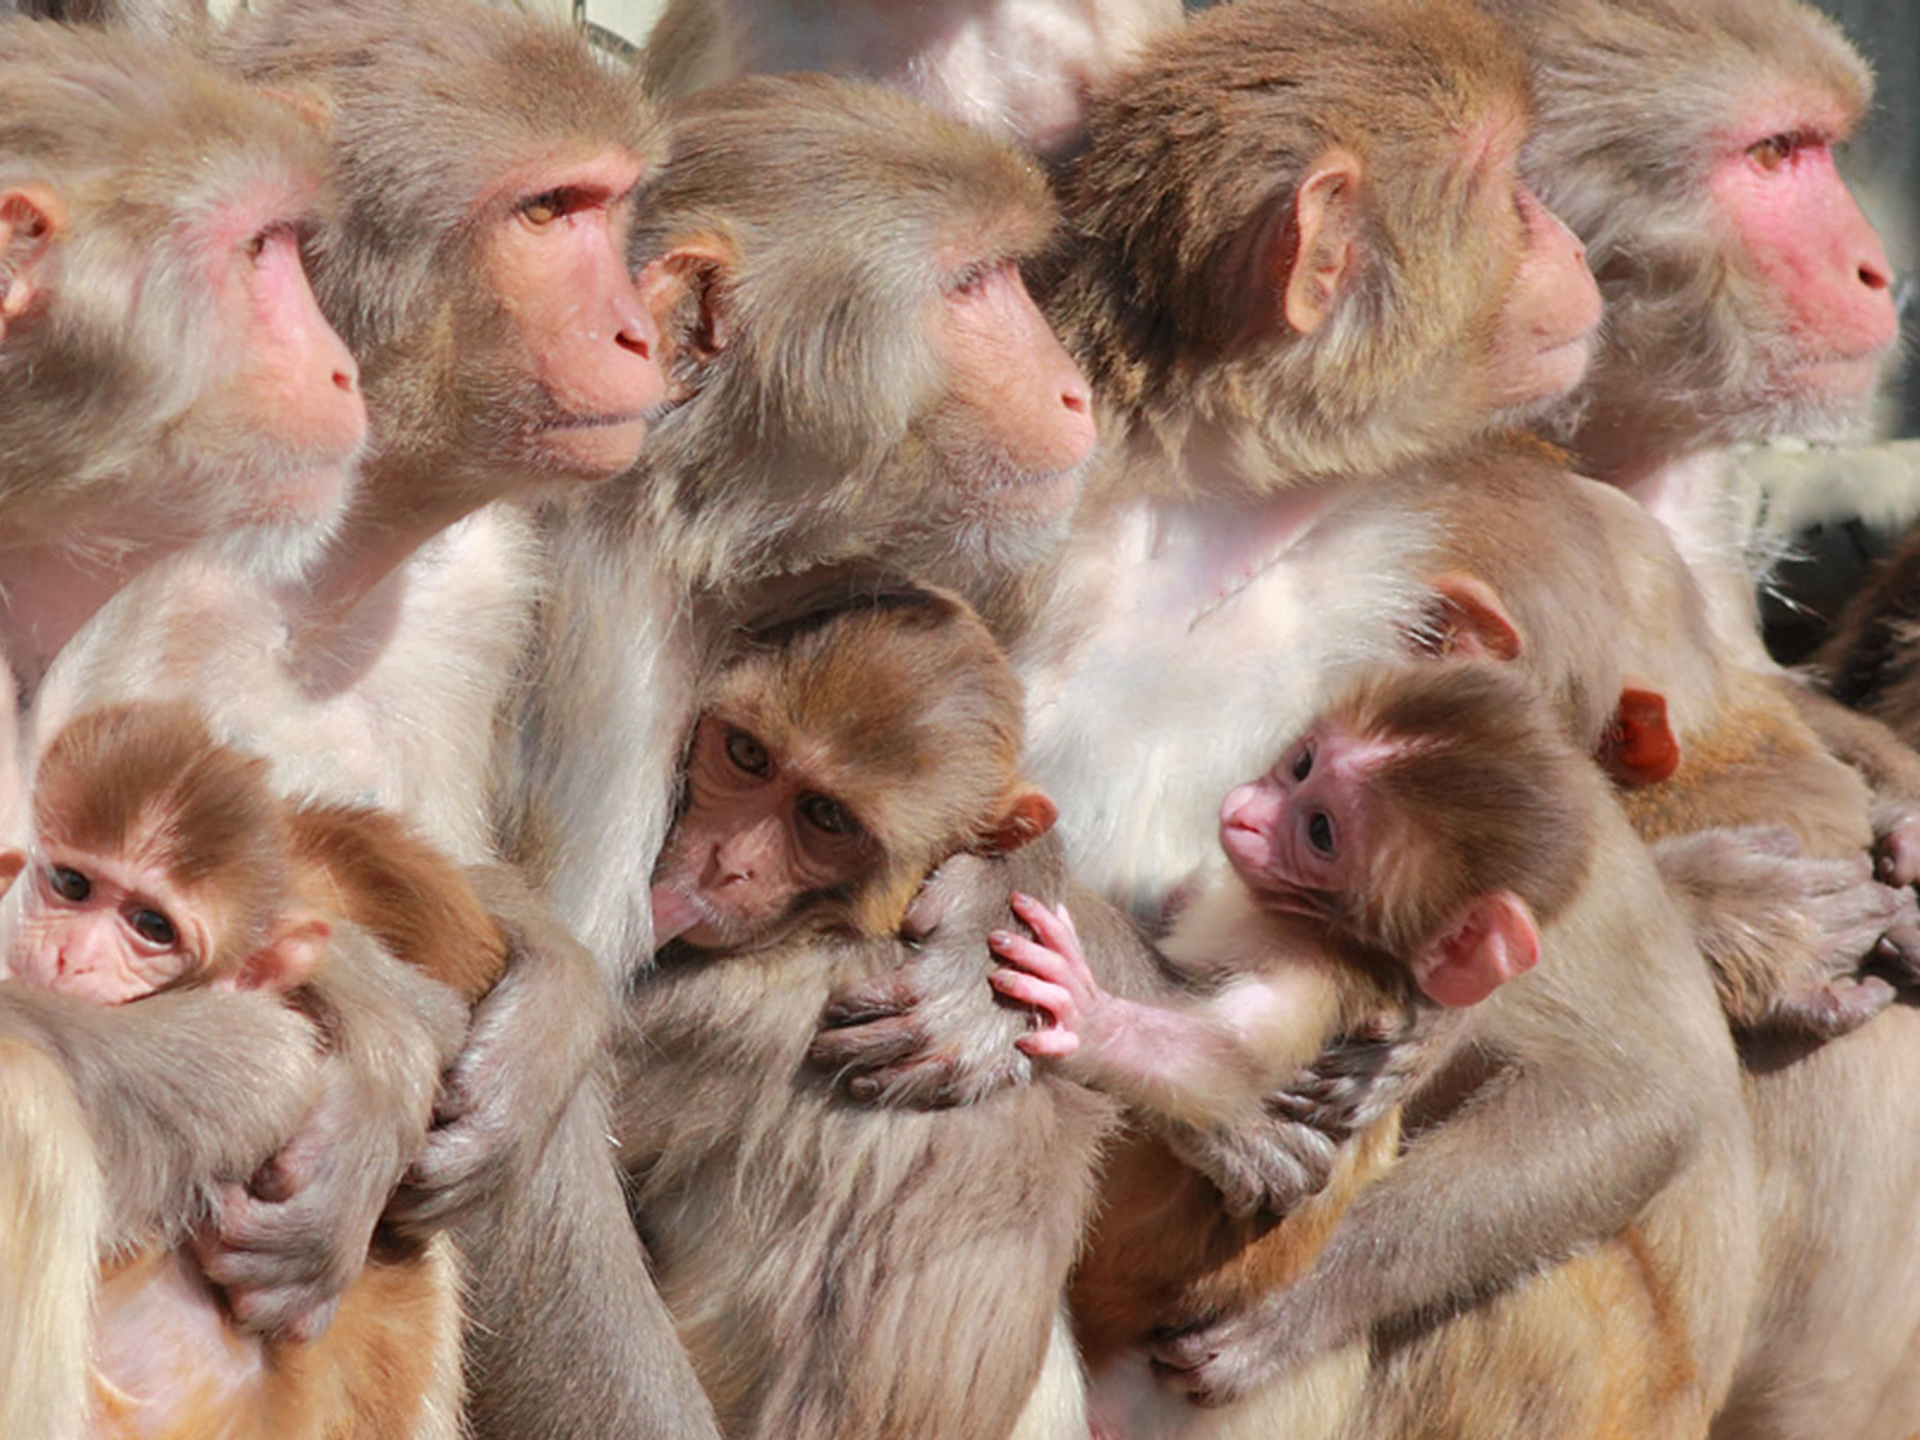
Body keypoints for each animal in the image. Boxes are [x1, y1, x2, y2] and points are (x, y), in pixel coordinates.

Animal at [31, 5, 721, 1436]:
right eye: (548, 211)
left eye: (609, 206)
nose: (643, 334)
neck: (321, 557)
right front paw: (376, 1074)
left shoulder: (478, 595)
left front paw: (549, 1024)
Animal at [990, 664, 1589, 1128]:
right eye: (1302, 764)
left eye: (1320, 831)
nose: (1245, 812)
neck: (1283, 912)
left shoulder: (1319, 970)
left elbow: (1226, 1061)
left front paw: (1086, 1014)